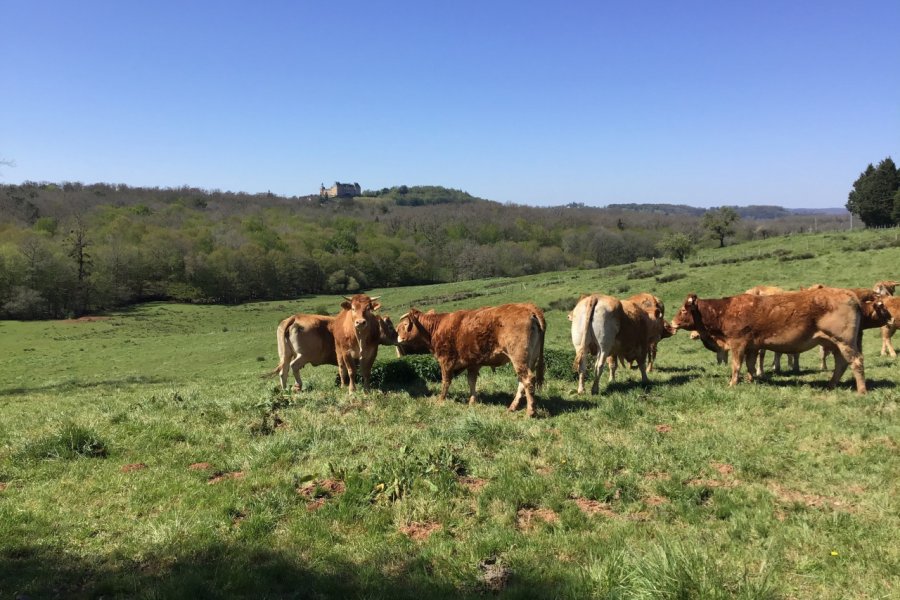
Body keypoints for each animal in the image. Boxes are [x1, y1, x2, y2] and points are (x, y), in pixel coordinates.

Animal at [396, 304, 548, 418]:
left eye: (404, 324)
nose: (397, 337)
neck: (436, 328)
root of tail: (528, 307)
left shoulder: (446, 360)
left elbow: (445, 381)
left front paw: (441, 399)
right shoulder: (473, 363)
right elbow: (471, 381)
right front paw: (472, 401)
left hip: (519, 357)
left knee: (527, 380)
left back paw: (530, 411)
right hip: (530, 359)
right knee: (522, 382)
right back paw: (512, 407)